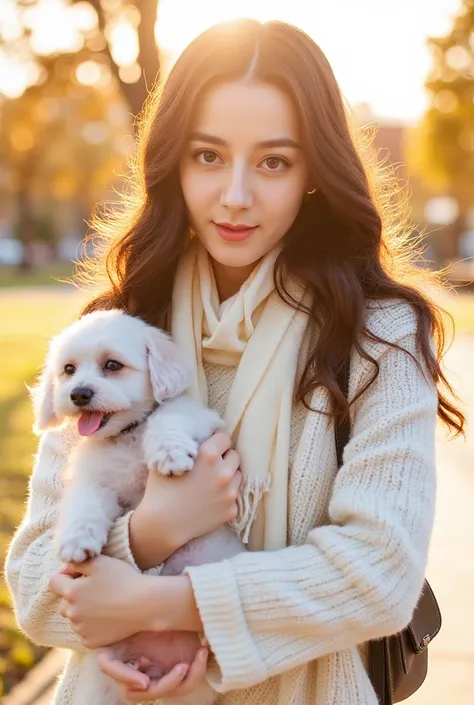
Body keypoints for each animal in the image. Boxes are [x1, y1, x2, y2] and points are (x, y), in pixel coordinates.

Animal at [32, 310, 244, 704]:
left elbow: (167, 416)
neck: (125, 434)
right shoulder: (94, 480)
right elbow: (84, 503)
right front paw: (76, 539)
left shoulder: (201, 421)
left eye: (112, 365)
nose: (79, 393)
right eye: (68, 369)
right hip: (102, 683)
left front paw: (169, 452)